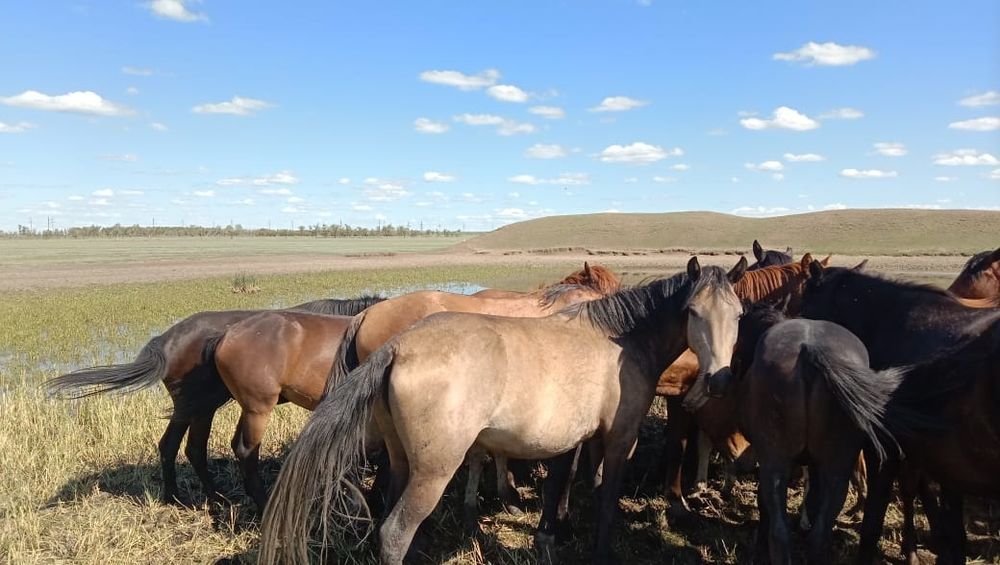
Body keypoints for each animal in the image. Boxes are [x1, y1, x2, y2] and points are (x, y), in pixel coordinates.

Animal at [42, 296, 382, 502]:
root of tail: (165, 340)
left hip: (198, 408)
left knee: (180, 447)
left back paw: (184, 497)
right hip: (225, 407)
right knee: (218, 449)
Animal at [262, 258, 748, 564]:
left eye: (739, 314)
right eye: (692, 312)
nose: (720, 380)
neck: (622, 339)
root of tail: (396, 346)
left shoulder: (568, 438)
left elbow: (558, 484)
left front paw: (551, 534)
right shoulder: (618, 438)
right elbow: (606, 499)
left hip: (402, 461)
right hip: (434, 471)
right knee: (395, 532)